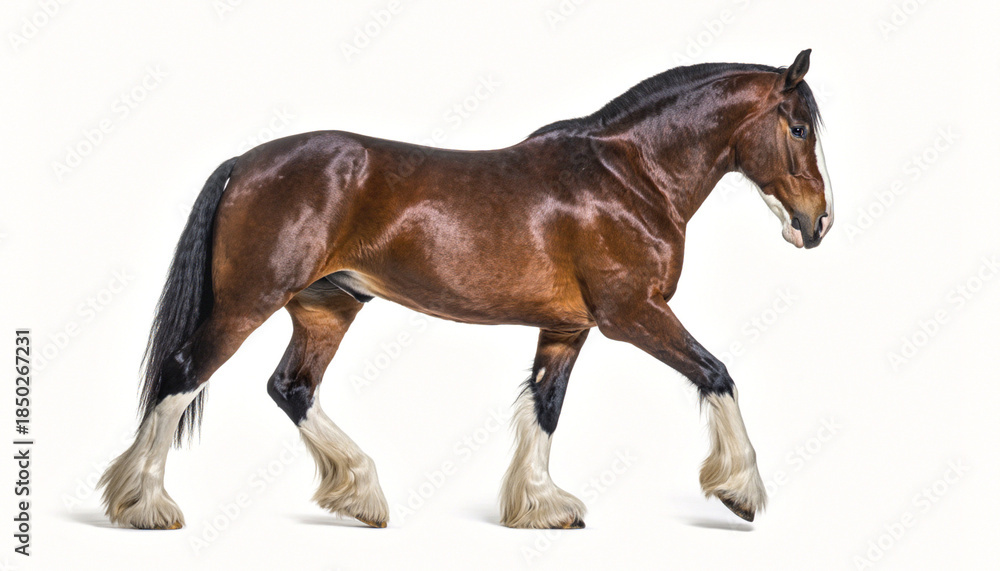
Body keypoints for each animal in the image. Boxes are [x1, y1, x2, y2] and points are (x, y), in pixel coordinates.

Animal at [99, 49, 832, 530]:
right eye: (798, 127)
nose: (816, 224)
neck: (628, 178)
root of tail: (247, 162)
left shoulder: (568, 327)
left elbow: (545, 405)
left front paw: (540, 506)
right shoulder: (633, 314)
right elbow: (716, 372)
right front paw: (740, 490)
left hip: (327, 307)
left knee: (292, 388)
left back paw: (361, 494)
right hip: (247, 302)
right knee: (183, 373)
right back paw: (145, 505)